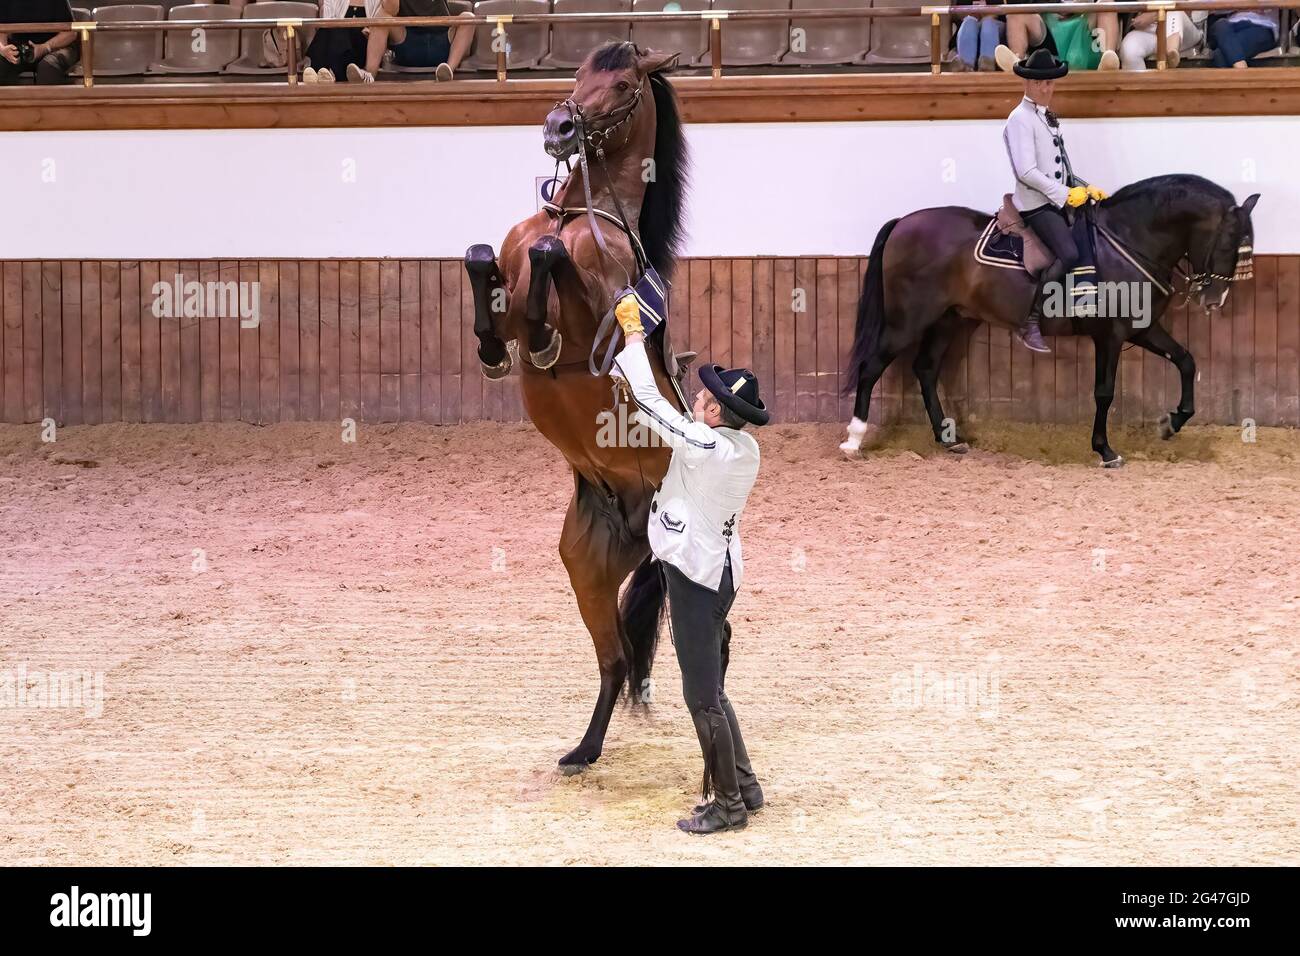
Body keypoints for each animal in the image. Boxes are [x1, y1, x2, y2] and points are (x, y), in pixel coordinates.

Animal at [467, 44, 691, 775]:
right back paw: (583, 751)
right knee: (614, 657)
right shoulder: (500, 269)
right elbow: (484, 260)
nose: (559, 127)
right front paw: (495, 344)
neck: (574, 215)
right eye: (578, 74)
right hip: (585, 568)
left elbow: (547, 265)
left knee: (622, 657)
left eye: (620, 84)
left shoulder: (598, 313)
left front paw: (540, 333)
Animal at [837, 176, 1253, 470]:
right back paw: (854, 440)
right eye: (1229, 241)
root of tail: (903, 222)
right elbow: (1104, 391)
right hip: (908, 320)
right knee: (872, 366)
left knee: (925, 368)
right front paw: (1105, 451)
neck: (1127, 240)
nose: (1215, 299)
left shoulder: (1142, 327)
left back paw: (948, 438)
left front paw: (1173, 422)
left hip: (948, 320)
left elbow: (1186, 361)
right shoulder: (1110, 334)